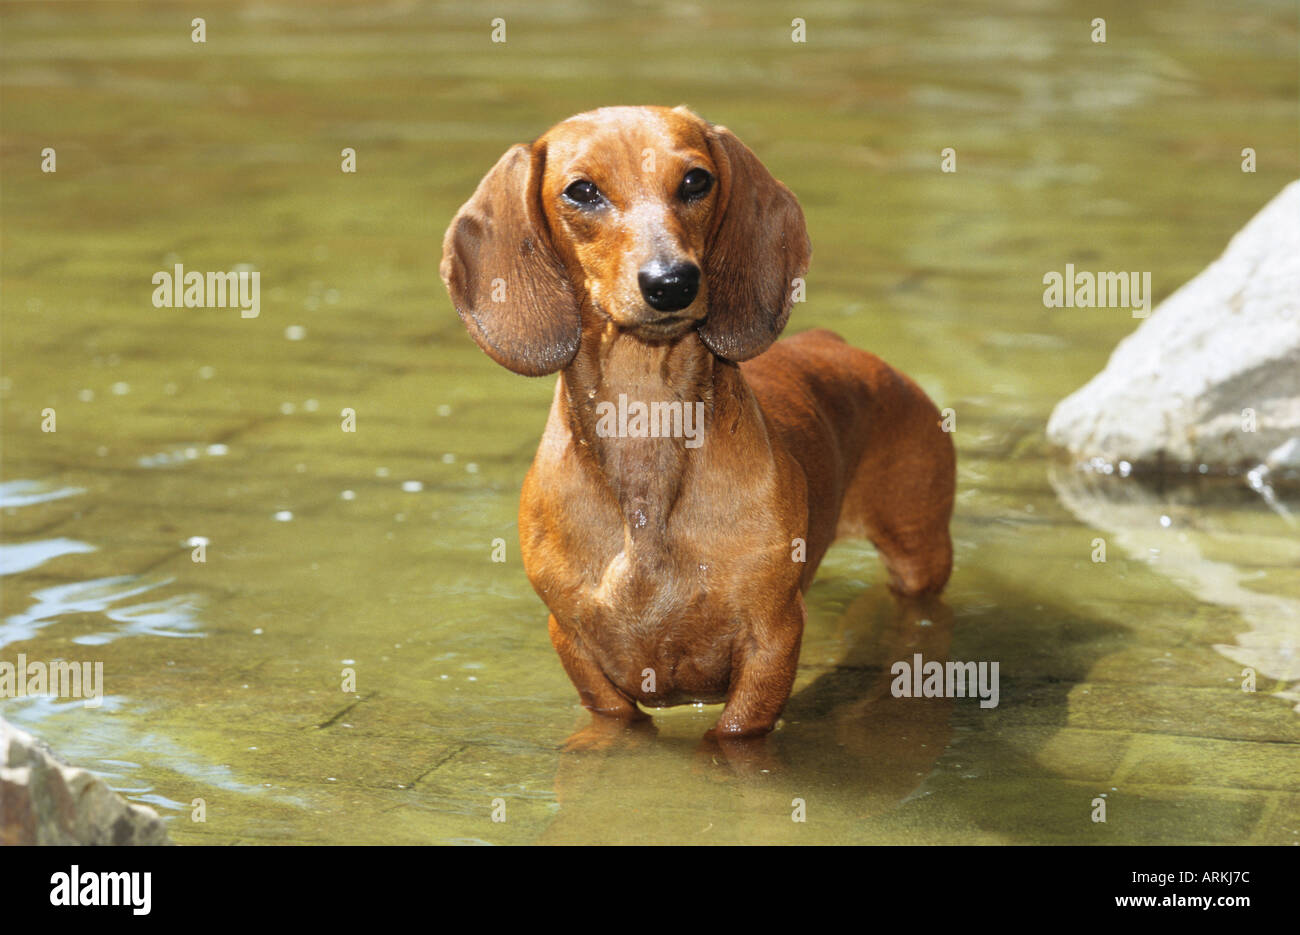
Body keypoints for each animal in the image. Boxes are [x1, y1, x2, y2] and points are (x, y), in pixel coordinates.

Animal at [441, 105, 951, 738]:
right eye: (581, 191)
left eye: (695, 180)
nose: (671, 282)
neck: (644, 417)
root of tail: (837, 343)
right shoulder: (575, 645)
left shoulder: (771, 641)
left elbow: (733, 733)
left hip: (920, 552)